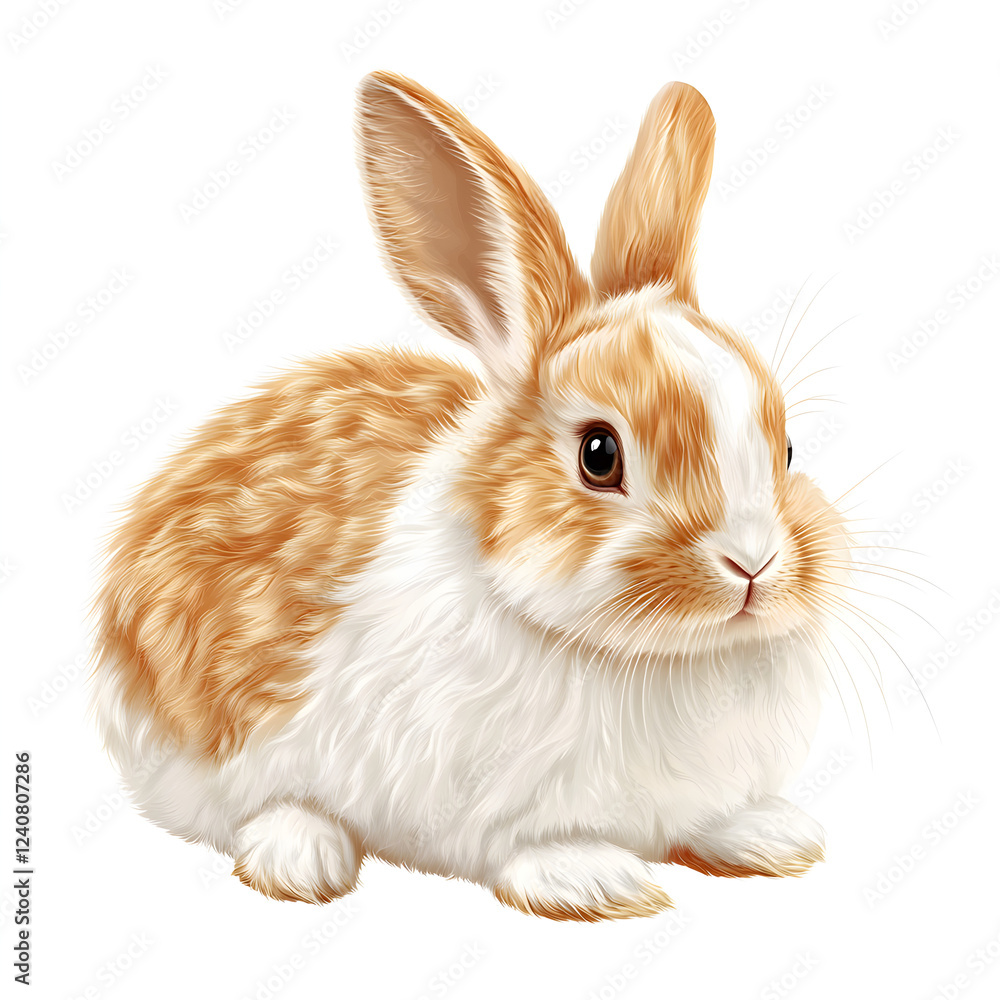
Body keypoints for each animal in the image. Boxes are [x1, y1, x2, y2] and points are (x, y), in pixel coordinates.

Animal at [90, 70, 850, 922]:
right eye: (599, 454)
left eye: (789, 450)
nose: (753, 564)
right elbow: (527, 849)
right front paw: (596, 879)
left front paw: (773, 834)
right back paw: (301, 853)